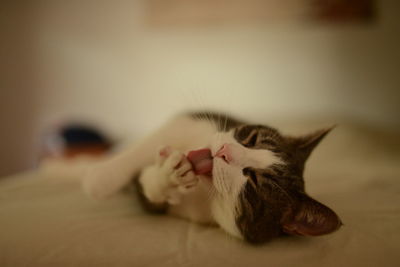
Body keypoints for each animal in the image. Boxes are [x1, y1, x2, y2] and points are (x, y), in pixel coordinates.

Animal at [83, 112, 340, 244]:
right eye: (252, 139)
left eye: (253, 181)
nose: (225, 151)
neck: (204, 193)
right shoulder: (197, 121)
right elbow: (157, 139)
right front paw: (102, 178)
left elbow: (150, 194)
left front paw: (172, 177)